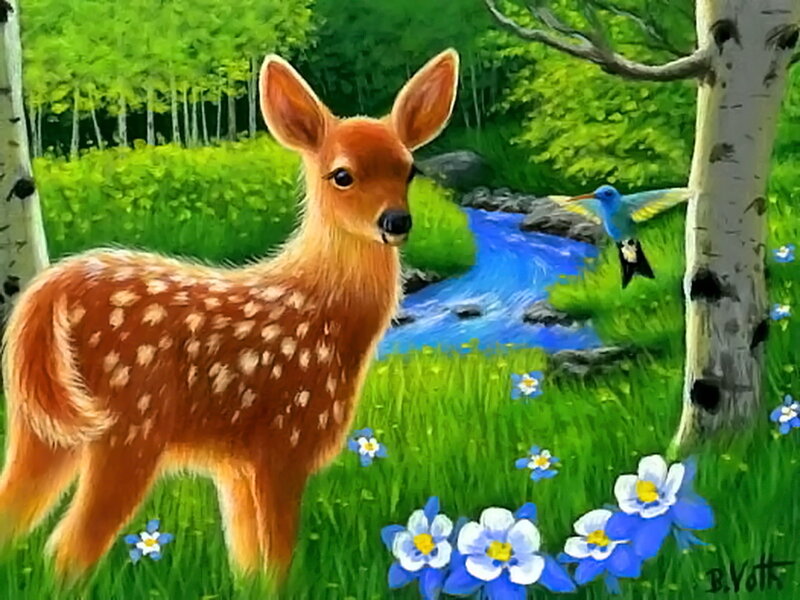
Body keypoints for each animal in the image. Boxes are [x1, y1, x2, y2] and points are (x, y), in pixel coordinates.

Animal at [0, 49, 460, 584]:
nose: (397, 222)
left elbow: (246, 562)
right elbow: (278, 563)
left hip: (42, 422)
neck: (326, 314)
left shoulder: (236, 466)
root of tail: (51, 288)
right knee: (68, 549)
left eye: (410, 170)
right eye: (342, 174)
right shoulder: (283, 442)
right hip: (128, 425)